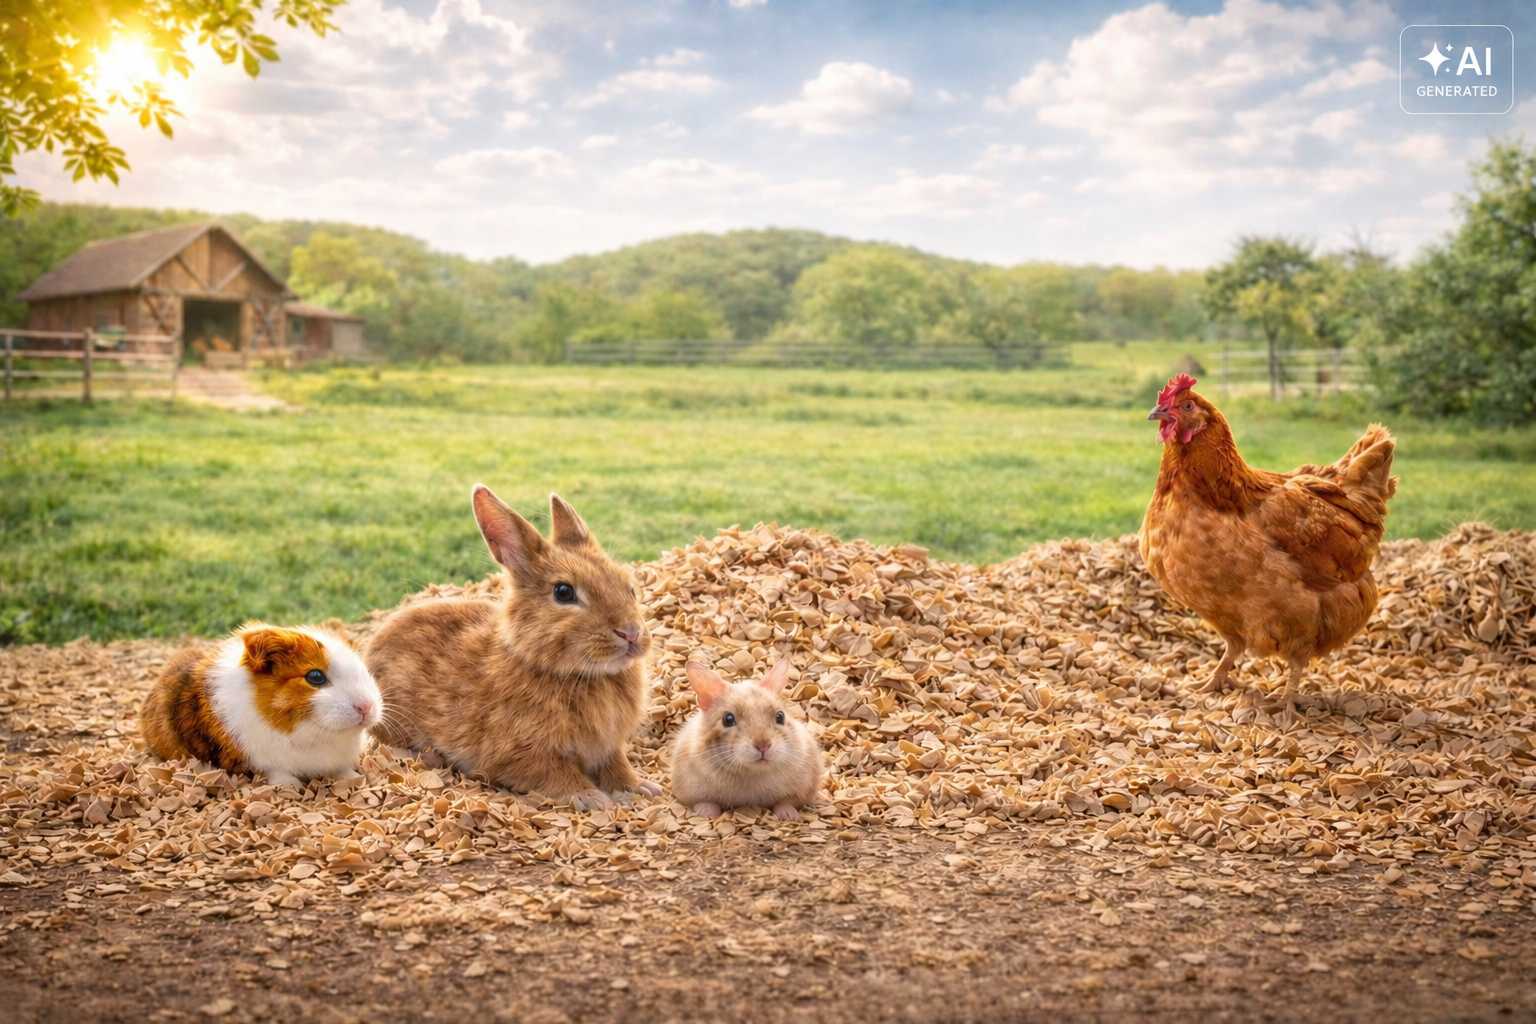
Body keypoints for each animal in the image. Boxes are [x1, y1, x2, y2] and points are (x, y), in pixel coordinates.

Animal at [140, 623, 383, 786]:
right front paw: (291, 787)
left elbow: (343, 771)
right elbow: (279, 774)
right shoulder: (265, 762)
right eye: (315, 677)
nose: (366, 707)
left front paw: (354, 778)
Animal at [366, 485, 658, 811]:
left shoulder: (608, 747)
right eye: (563, 592)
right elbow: (557, 774)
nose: (631, 633)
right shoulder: (520, 755)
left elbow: (617, 765)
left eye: (628, 587)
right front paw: (592, 799)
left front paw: (640, 789)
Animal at [670, 659, 824, 820]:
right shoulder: (689, 790)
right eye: (727, 719)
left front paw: (789, 816)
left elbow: (786, 802)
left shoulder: (804, 787)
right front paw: (706, 814)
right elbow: (705, 802)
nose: (763, 746)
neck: (752, 772)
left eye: (780, 716)